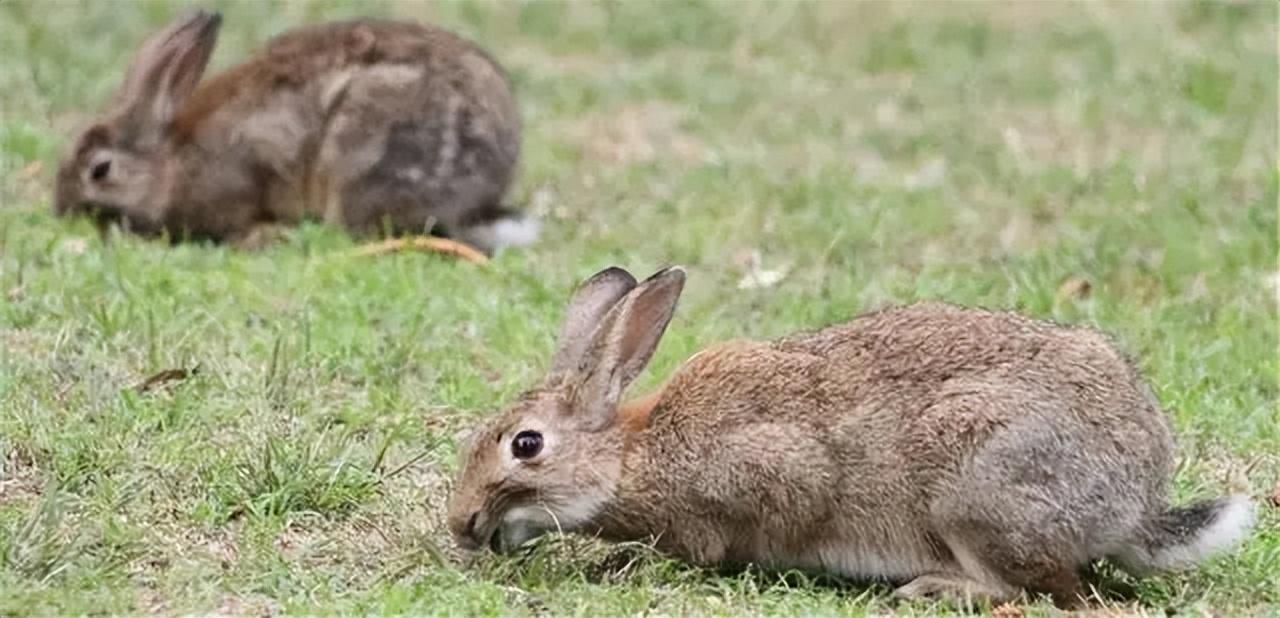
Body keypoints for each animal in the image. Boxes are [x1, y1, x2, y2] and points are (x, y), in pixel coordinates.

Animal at [445, 267, 1254, 609]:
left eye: (525, 445)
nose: (460, 524)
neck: (630, 454)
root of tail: (1133, 502)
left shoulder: (765, 475)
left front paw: (622, 563)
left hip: (977, 488)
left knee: (1037, 587)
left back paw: (934, 588)